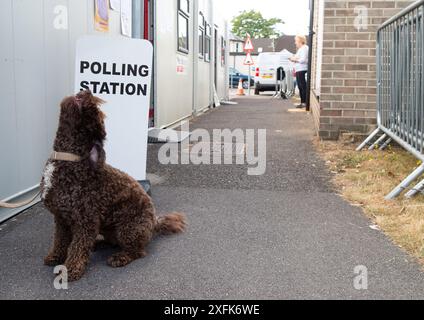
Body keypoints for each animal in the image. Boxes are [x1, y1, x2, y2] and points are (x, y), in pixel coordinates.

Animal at [41, 89, 186, 280]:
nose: (86, 91)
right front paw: (55, 257)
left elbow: (77, 246)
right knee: (112, 242)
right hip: (108, 228)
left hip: (128, 229)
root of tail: (154, 222)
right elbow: (60, 240)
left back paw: (120, 257)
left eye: (95, 110)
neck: (68, 159)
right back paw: (99, 244)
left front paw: (70, 269)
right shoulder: (61, 218)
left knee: (137, 251)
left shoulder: (85, 221)